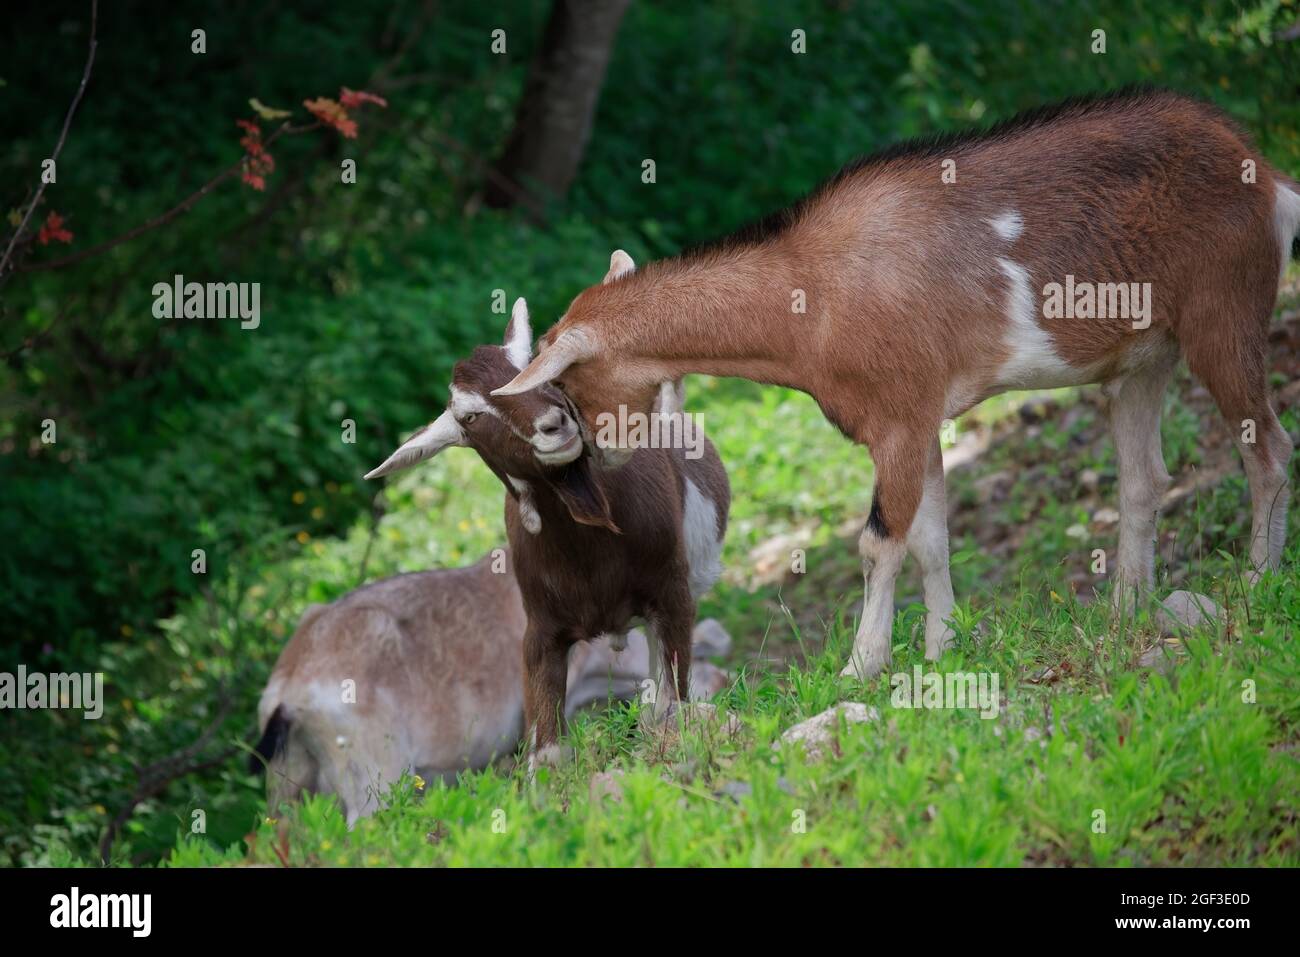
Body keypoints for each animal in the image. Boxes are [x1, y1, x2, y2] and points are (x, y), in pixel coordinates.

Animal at [493, 85, 1300, 676]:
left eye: (567, 390)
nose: (611, 456)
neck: (809, 299)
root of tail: (1270, 178)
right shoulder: (925, 420)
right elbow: (931, 539)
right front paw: (946, 648)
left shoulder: (900, 418)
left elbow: (881, 541)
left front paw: (863, 666)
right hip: (1143, 358)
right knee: (1144, 478)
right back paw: (1125, 612)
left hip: (1225, 313)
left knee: (1268, 446)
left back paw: (1258, 582)